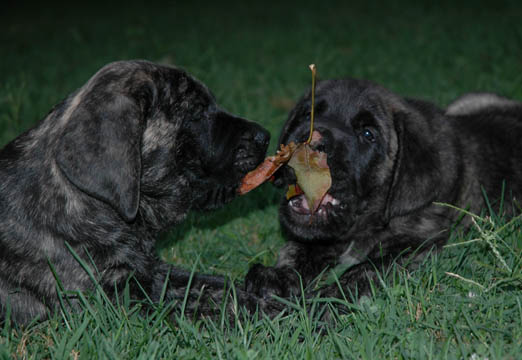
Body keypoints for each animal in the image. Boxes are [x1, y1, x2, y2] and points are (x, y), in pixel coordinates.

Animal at [0, 60, 274, 324]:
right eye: (197, 112)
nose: (265, 136)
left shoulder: (151, 272)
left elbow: (214, 285)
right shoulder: (112, 303)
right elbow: (212, 307)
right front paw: (272, 310)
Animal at [245, 78, 520, 300]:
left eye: (368, 134)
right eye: (306, 115)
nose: (310, 141)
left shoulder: (420, 244)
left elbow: (368, 269)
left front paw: (328, 300)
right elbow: (298, 249)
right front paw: (279, 277)